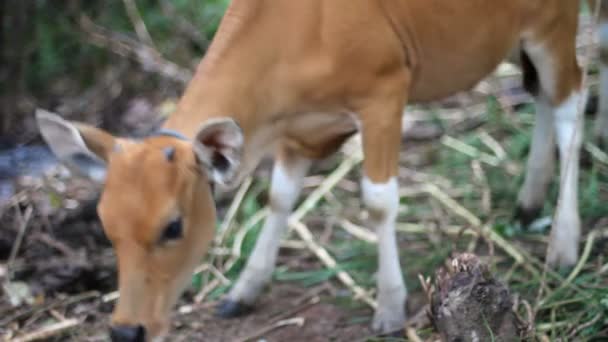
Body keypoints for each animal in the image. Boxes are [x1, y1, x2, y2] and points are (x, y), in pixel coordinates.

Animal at [36, 1, 604, 340]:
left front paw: (390, 306)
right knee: (542, 98)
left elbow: (378, 200)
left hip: (553, 23)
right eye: (106, 228)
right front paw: (245, 289)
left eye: (173, 226)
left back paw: (563, 244)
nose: (126, 330)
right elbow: (281, 198)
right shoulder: (298, 129)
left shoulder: (385, 94)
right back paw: (528, 201)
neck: (300, 29)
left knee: (571, 102)